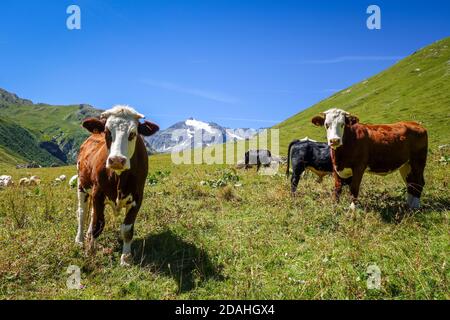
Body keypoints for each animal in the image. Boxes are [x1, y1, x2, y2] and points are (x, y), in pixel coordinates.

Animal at [74, 105, 158, 264]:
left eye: (133, 133)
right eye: (107, 132)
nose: (117, 160)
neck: (120, 178)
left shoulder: (138, 197)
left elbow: (127, 229)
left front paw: (126, 258)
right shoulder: (98, 193)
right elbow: (98, 224)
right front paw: (91, 252)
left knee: (92, 214)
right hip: (82, 185)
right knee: (82, 213)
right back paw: (80, 240)